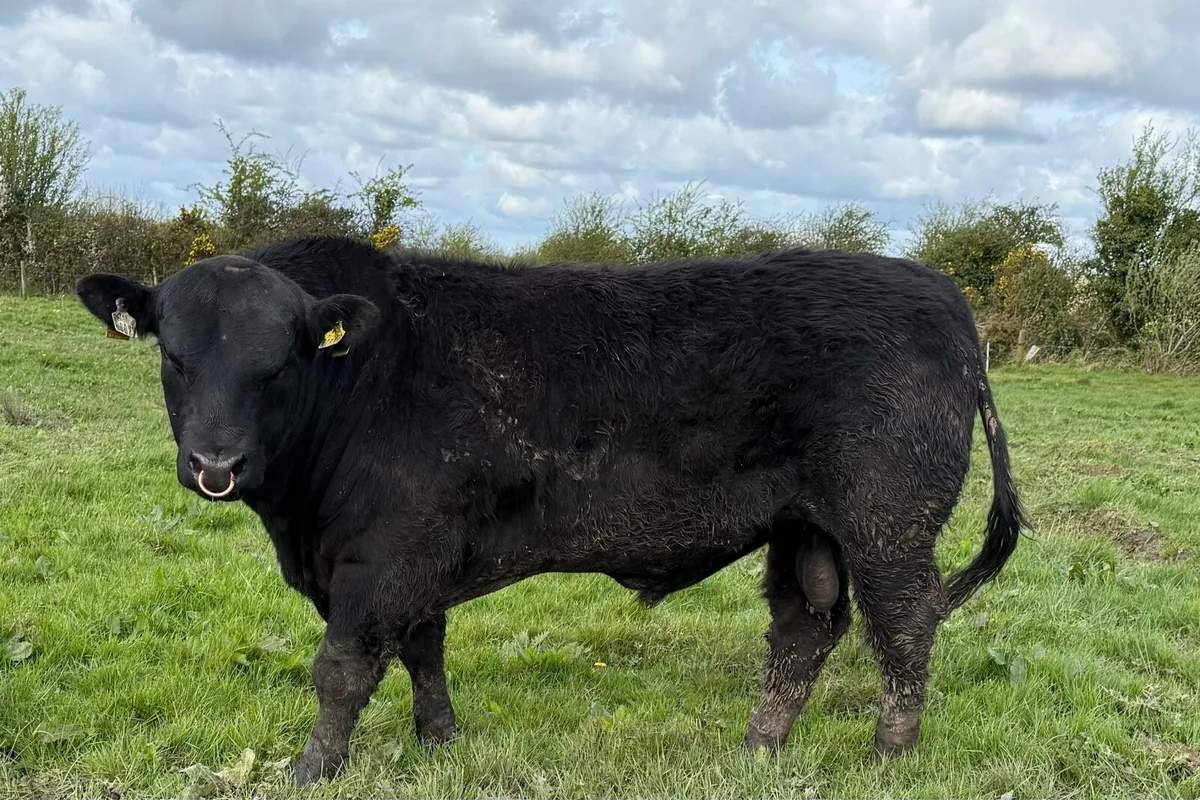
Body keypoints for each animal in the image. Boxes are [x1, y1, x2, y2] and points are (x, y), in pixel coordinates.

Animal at [75, 234, 1026, 785]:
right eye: (175, 356)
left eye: (278, 363)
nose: (216, 464)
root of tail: (947, 302)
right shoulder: (419, 553)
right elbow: (423, 648)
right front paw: (440, 740)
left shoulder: (386, 554)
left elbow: (341, 669)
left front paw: (312, 769)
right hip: (803, 527)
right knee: (804, 631)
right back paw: (758, 750)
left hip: (886, 520)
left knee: (905, 626)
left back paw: (887, 755)